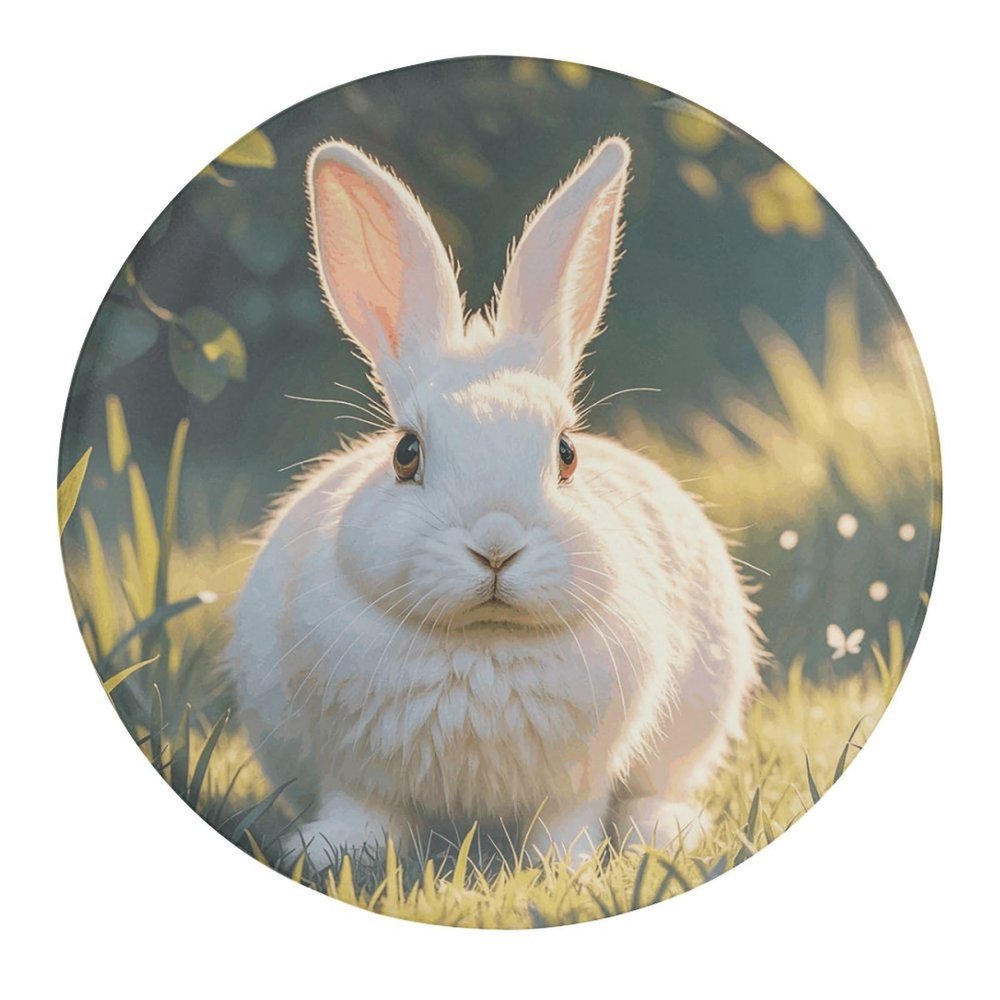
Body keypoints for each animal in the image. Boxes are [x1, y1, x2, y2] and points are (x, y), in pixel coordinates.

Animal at [225, 135, 760, 868]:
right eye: (406, 453)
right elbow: (364, 811)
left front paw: (565, 868)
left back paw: (662, 830)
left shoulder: (577, 781)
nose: (497, 546)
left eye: (566, 453)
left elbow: (566, 821)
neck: (482, 644)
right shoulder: (354, 774)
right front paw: (329, 852)